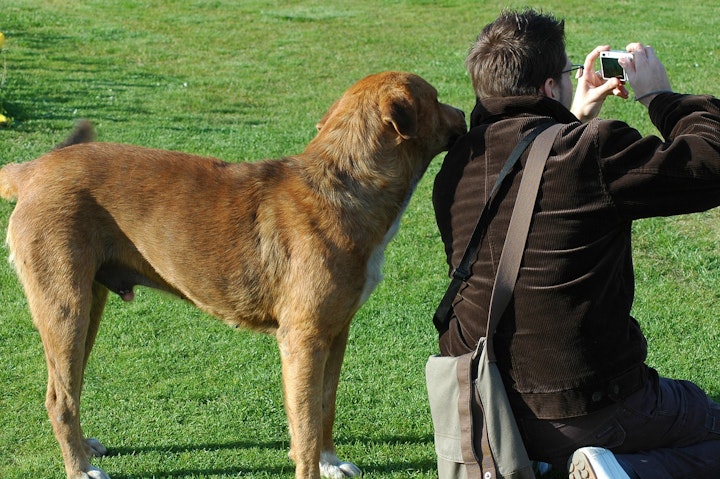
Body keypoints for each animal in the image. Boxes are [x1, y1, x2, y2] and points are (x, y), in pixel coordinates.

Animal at [1, 72, 466, 479]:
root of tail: (32, 169)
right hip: (66, 306)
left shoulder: (335, 332)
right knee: (59, 397)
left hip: (87, 306)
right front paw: (313, 465)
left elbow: (324, 406)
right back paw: (79, 468)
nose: (464, 113)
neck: (346, 184)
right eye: (436, 97)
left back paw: (84, 448)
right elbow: (306, 424)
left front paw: (330, 462)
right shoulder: (303, 339)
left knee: (71, 385)